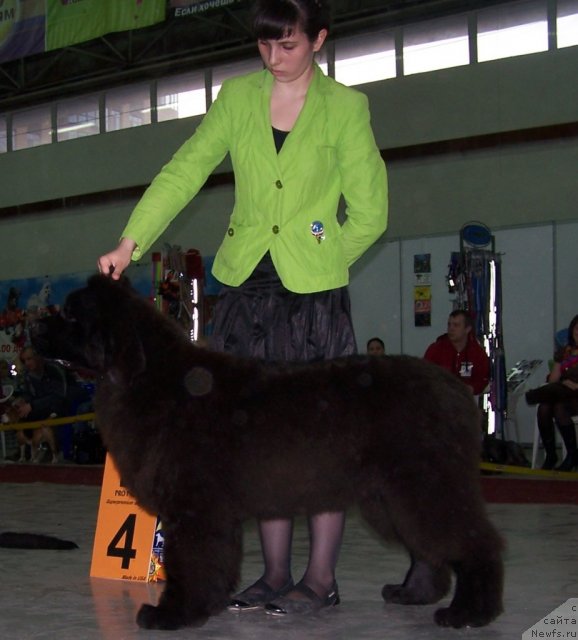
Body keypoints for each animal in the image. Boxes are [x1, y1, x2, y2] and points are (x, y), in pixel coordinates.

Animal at [32, 276, 500, 632]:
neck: (149, 379)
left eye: (71, 314)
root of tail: (457, 391)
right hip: (393, 495)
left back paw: (470, 612)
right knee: (428, 547)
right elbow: (213, 563)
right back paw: (413, 593)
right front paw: (207, 605)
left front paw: (173, 614)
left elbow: (190, 562)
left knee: (476, 542)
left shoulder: (195, 506)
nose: (35, 329)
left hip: (424, 483)